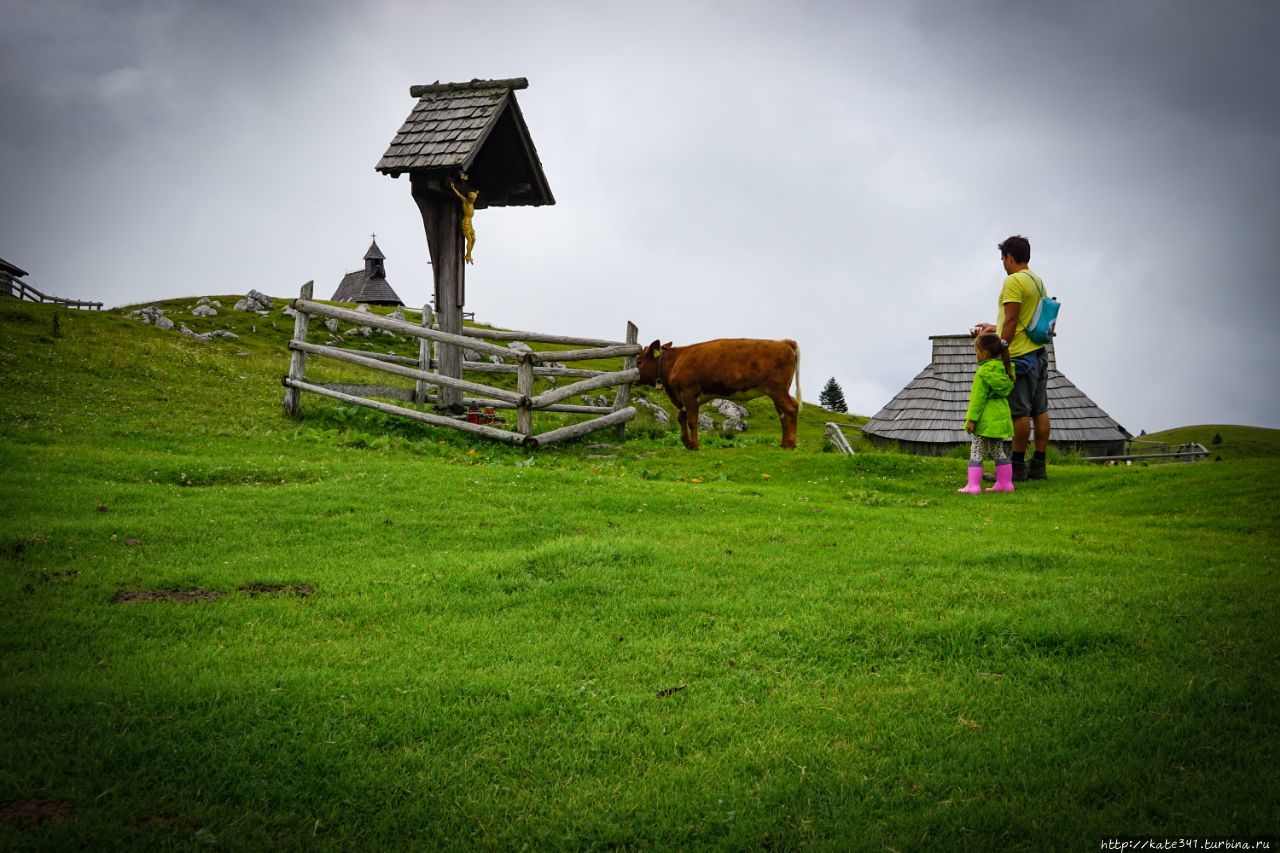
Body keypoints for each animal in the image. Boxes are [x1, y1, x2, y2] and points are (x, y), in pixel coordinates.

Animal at [632, 335, 798, 448]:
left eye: (639, 361)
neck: (675, 362)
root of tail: (783, 342)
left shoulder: (689, 392)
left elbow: (692, 420)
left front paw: (694, 445)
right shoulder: (686, 397)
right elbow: (681, 418)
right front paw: (686, 442)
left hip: (778, 390)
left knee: (791, 409)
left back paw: (791, 444)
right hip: (779, 392)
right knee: (783, 414)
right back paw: (784, 444)